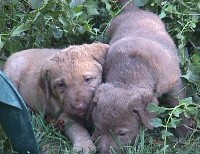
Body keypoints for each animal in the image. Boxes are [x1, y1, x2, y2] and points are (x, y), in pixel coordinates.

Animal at [91, 0, 190, 153]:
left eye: (122, 133)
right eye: (97, 128)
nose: (103, 152)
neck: (129, 76)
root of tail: (132, 10)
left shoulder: (174, 83)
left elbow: (179, 103)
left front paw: (184, 130)